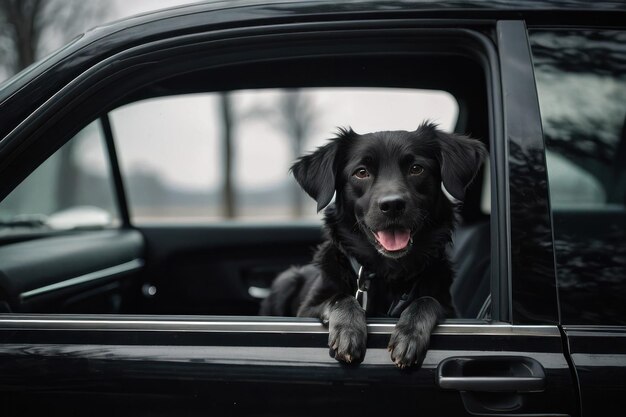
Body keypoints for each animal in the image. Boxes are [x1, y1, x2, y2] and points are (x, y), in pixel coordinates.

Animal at [260, 122, 486, 368]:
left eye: (416, 168)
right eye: (361, 172)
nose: (392, 205)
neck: (389, 272)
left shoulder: (452, 310)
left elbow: (427, 300)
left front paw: (409, 334)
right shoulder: (306, 310)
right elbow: (341, 298)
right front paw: (348, 330)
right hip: (286, 280)